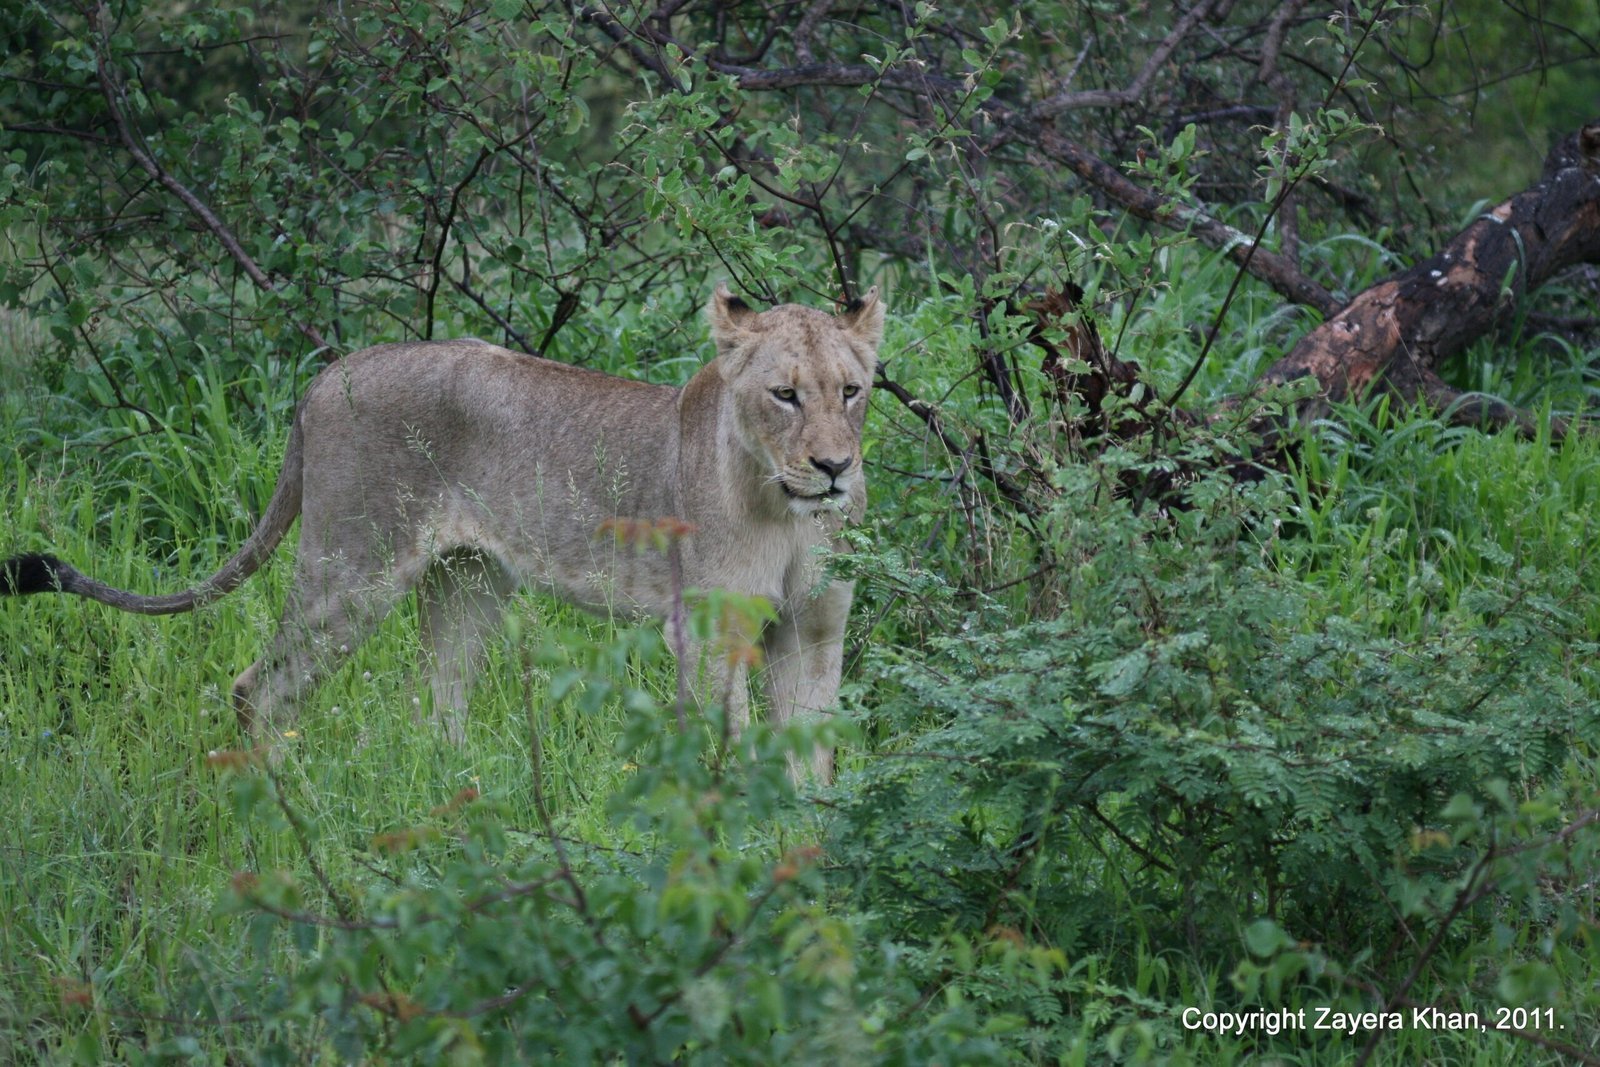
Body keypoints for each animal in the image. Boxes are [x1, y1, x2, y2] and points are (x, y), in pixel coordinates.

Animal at [0, 286, 884, 780]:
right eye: (783, 394)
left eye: (851, 390)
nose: (835, 466)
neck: (787, 512)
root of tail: (325, 376)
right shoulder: (705, 628)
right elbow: (719, 740)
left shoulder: (813, 627)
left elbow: (812, 748)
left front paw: (807, 838)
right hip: (351, 567)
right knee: (260, 686)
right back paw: (289, 806)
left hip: (467, 581)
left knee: (436, 705)